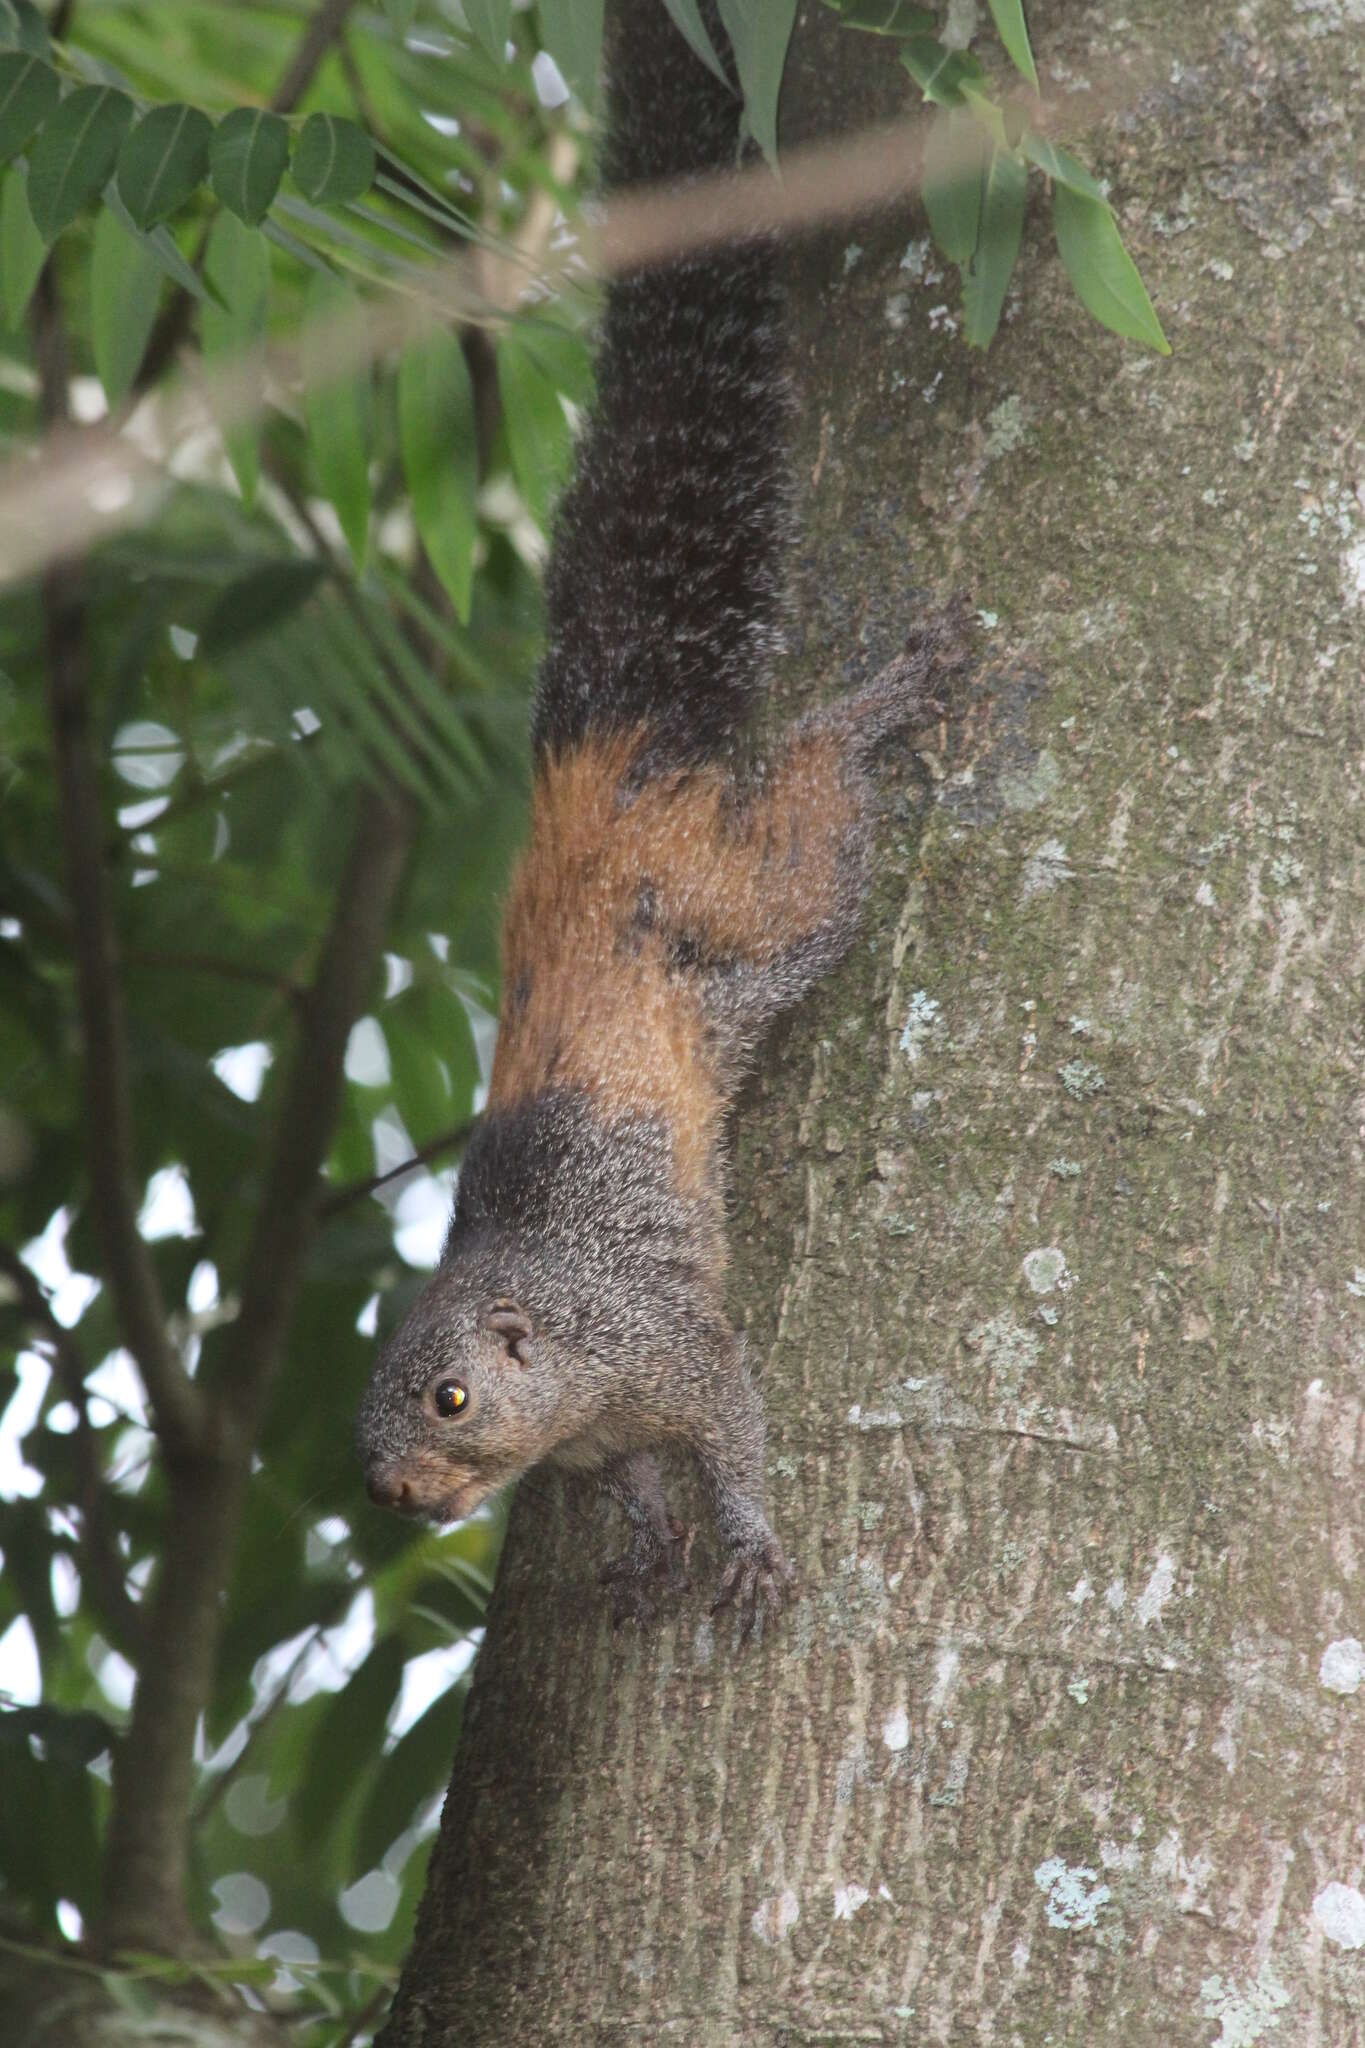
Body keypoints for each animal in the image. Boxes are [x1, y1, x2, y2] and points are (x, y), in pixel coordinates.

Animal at [358, 0, 965, 1630]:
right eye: (362, 1441)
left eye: (448, 1400)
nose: (403, 1495)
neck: (565, 1375)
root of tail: (596, 791)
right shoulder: (596, 1435)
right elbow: (634, 1484)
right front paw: (645, 1548)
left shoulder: (664, 1342)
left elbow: (734, 1420)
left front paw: (741, 1540)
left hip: (753, 901)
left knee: (816, 815)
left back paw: (878, 707)